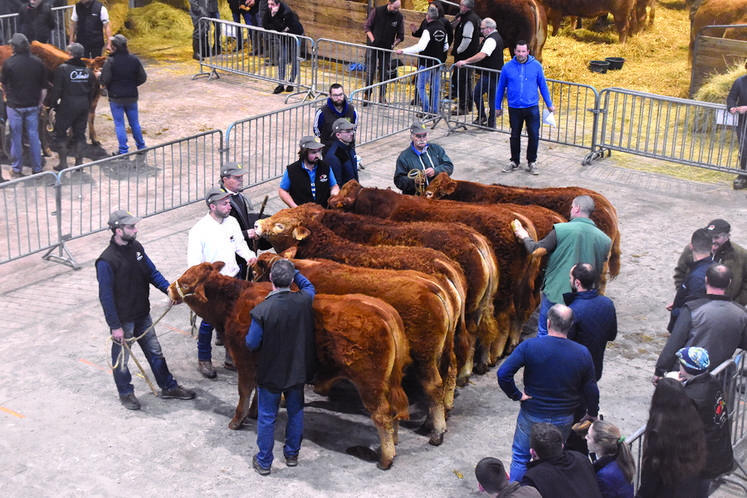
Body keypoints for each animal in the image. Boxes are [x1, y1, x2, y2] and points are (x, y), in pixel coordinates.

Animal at [168, 262, 410, 468]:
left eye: (187, 283)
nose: (170, 288)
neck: (233, 302)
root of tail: (383, 311)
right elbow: (258, 393)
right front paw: (254, 412)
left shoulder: (244, 362)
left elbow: (244, 393)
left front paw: (237, 420)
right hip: (389, 382)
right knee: (394, 410)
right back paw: (395, 441)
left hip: (370, 384)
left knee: (382, 415)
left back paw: (386, 458)